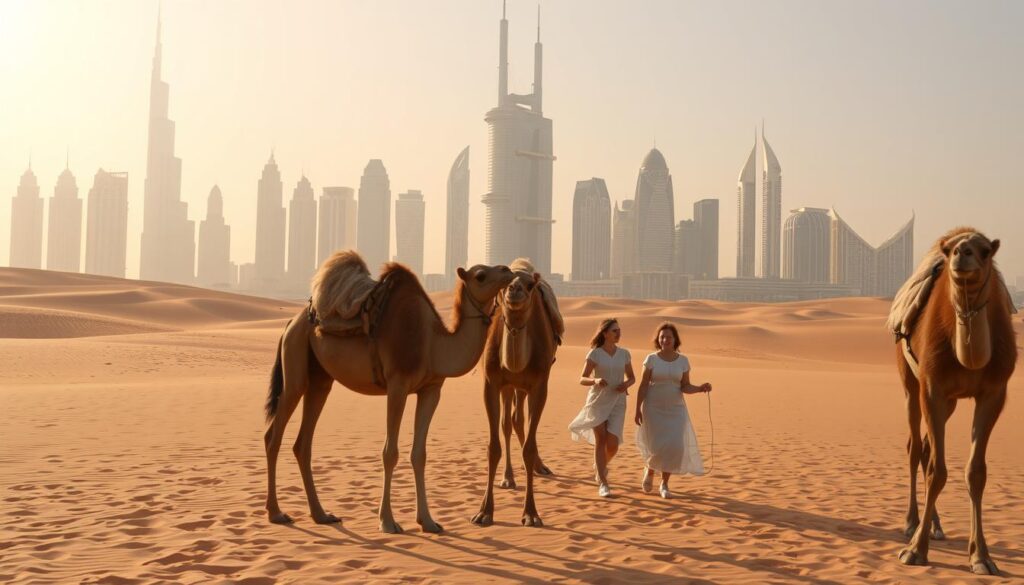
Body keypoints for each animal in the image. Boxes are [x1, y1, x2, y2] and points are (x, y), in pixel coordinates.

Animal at [263, 251, 514, 533]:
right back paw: (276, 513)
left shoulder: (431, 390)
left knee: (303, 443)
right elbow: (389, 452)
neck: (433, 344)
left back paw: (321, 514)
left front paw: (428, 521)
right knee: (274, 435)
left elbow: (419, 454)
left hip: (320, 379)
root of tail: (290, 323)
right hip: (295, 362)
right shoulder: (398, 385)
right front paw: (388, 521)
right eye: (480, 275)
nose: (508, 271)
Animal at [472, 259, 563, 527]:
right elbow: (493, 447)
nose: (514, 290)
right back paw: (509, 477)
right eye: (503, 283)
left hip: (522, 387)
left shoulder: (539, 385)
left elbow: (529, 448)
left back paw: (539, 467)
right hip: (509, 387)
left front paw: (531, 514)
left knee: (517, 420)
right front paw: (484, 512)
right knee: (508, 423)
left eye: (530, 285)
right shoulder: (491, 383)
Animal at [887, 227, 1017, 575]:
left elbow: (975, 473)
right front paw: (914, 550)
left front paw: (982, 557)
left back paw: (935, 525)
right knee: (915, 447)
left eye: (985, 251)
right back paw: (911, 523)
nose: (961, 252)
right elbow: (938, 470)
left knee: (926, 448)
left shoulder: (993, 393)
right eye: (949, 252)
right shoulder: (932, 387)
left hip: (952, 402)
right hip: (910, 383)